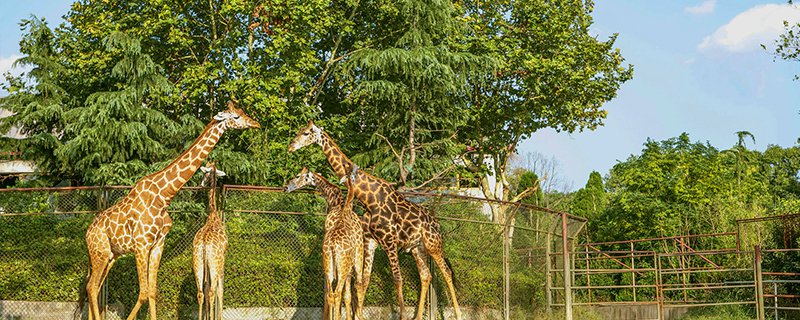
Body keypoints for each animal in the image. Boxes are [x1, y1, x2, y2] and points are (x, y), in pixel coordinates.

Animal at [80, 100, 260, 320]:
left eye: (243, 112)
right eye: (236, 116)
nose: (256, 123)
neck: (164, 196)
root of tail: (88, 233)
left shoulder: (158, 244)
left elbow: (152, 291)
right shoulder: (142, 245)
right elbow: (143, 292)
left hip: (109, 255)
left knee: (94, 287)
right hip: (101, 253)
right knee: (91, 286)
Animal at [286, 166, 364, 320]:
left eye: (298, 176)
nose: (286, 187)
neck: (337, 203)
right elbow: (346, 294)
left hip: (338, 263)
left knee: (336, 292)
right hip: (345, 263)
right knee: (345, 290)